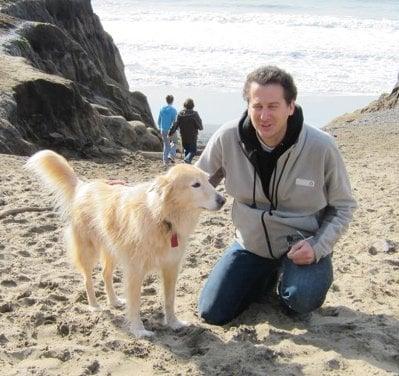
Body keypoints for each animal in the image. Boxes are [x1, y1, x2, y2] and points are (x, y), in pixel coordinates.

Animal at [27, 150, 227, 338]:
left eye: (209, 181)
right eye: (196, 185)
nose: (223, 200)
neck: (162, 218)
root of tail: (83, 186)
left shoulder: (171, 267)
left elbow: (170, 299)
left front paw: (174, 323)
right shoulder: (135, 271)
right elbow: (135, 303)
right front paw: (139, 330)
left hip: (112, 251)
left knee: (105, 274)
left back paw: (114, 301)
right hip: (88, 251)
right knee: (87, 279)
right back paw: (94, 306)